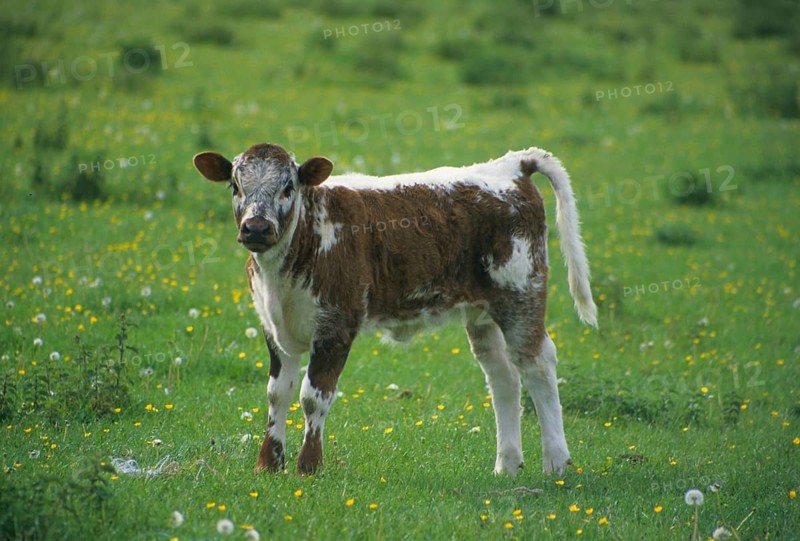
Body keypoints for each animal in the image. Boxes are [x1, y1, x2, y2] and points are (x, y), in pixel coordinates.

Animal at [193, 143, 597, 476]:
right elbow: (278, 392)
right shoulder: (275, 330)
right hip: (482, 311)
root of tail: (509, 165)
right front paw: (268, 463)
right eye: (235, 186)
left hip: (521, 294)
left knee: (537, 364)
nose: (256, 228)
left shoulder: (336, 326)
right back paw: (507, 465)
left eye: (288, 187)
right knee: (503, 377)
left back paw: (556, 462)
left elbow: (313, 396)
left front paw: (308, 466)